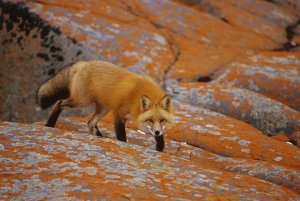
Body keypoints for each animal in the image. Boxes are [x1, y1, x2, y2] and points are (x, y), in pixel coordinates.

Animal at [37, 60, 173, 152]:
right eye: (150, 120)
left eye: (162, 120)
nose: (156, 132)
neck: (136, 97)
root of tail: (85, 63)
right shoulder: (118, 113)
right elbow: (121, 135)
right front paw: (122, 144)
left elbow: (161, 138)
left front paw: (160, 147)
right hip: (81, 101)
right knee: (58, 103)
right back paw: (49, 124)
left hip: (103, 108)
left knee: (90, 122)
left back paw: (100, 138)